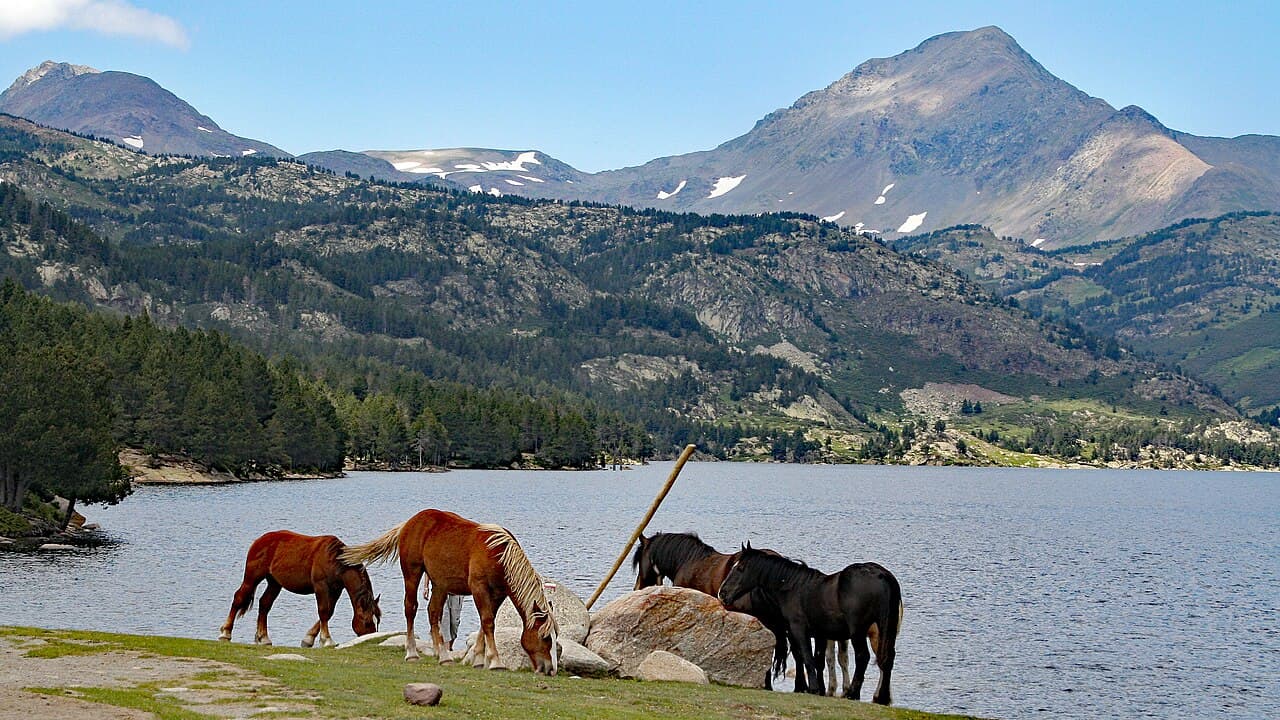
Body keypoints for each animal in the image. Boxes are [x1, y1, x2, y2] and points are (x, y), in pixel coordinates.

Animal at [219, 530, 382, 648]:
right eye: (367, 622)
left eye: (377, 621)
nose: (371, 637)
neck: (335, 560)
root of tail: (260, 540)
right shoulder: (321, 587)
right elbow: (323, 611)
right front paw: (326, 640)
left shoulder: (336, 590)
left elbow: (329, 613)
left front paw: (309, 639)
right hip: (252, 577)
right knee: (239, 598)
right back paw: (226, 633)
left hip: (274, 583)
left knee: (264, 604)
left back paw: (263, 638)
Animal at [341, 509, 559, 675]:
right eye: (545, 637)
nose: (550, 669)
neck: (499, 555)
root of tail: (410, 522)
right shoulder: (479, 588)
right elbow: (488, 622)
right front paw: (495, 662)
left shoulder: (497, 594)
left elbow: (485, 623)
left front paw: (479, 659)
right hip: (412, 573)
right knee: (411, 609)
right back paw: (412, 653)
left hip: (440, 585)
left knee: (433, 612)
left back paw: (443, 656)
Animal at [718, 546, 903, 705]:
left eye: (740, 568)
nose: (722, 593)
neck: (791, 587)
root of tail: (882, 575)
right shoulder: (820, 634)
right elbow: (818, 660)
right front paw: (819, 689)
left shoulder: (798, 629)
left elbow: (807, 657)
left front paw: (812, 688)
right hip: (885, 628)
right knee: (887, 659)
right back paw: (882, 698)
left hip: (859, 631)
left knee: (863, 657)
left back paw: (852, 694)